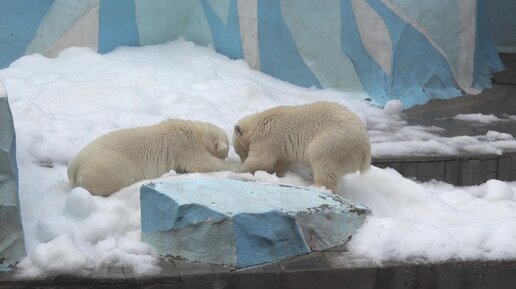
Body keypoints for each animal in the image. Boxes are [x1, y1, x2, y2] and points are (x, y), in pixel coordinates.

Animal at [67, 118, 233, 196]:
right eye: (224, 154)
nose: (226, 156)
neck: (195, 131)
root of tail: (74, 166)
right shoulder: (185, 146)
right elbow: (203, 163)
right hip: (111, 164)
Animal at [234, 101, 370, 191]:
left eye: (239, 152)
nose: (242, 160)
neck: (258, 123)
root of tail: (365, 149)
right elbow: (280, 162)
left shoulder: (267, 138)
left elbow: (261, 160)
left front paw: (238, 171)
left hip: (333, 141)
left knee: (322, 160)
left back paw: (317, 186)